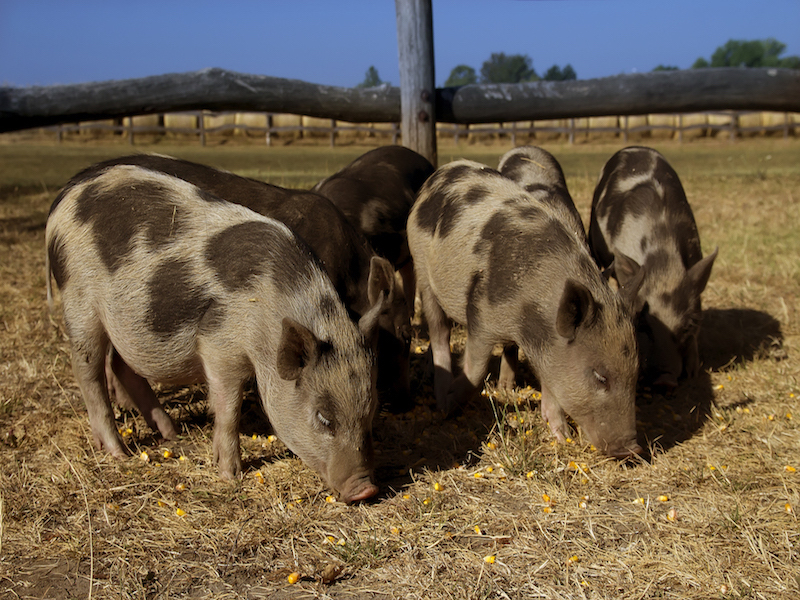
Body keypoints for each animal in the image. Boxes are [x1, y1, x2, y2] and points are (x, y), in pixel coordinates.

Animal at [47, 164, 384, 502]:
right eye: (324, 417)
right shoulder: (219, 345)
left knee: (123, 367)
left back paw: (170, 434)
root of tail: (65, 195)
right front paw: (230, 476)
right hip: (78, 300)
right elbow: (228, 408)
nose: (366, 489)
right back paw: (119, 452)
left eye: (370, 413)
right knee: (86, 370)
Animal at [406, 161, 644, 460]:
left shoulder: (549, 347)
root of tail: (439, 174)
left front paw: (562, 437)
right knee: (439, 332)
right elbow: (476, 370)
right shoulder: (480, 314)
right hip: (422, 268)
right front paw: (450, 404)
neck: (529, 315)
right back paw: (441, 397)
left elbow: (552, 384)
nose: (633, 449)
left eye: (636, 372)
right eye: (601, 376)